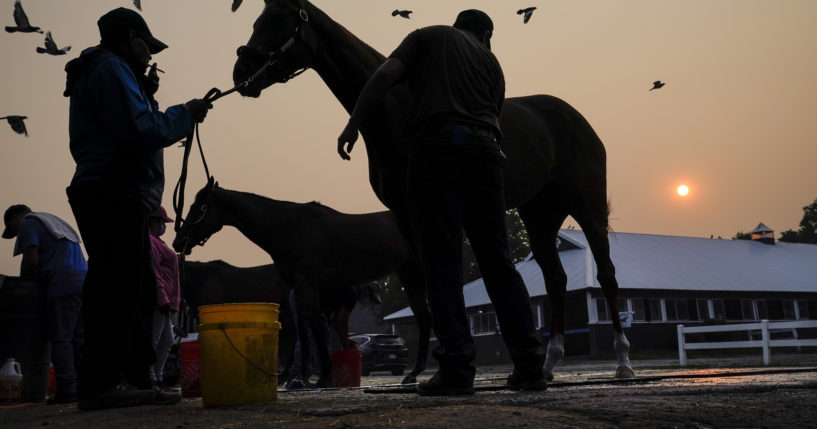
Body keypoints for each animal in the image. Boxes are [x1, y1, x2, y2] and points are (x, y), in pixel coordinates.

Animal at [172, 181, 428, 382]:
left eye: (197, 208)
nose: (178, 241)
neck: (288, 227)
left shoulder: (303, 283)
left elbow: (311, 324)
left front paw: (321, 375)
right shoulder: (308, 287)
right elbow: (313, 324)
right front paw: (321, 374)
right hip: (409, 271)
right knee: (422, 314)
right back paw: (414, 373)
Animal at [233, 0, 636, 378]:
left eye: (279, 18)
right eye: (257, 19)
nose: (241, 72)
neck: (396, 110)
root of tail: (576, 119)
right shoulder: (406, 212)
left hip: (587, 206)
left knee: (606, 274)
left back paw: (622, 361)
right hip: (539, 215)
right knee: (555, 280)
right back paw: (550, 362)